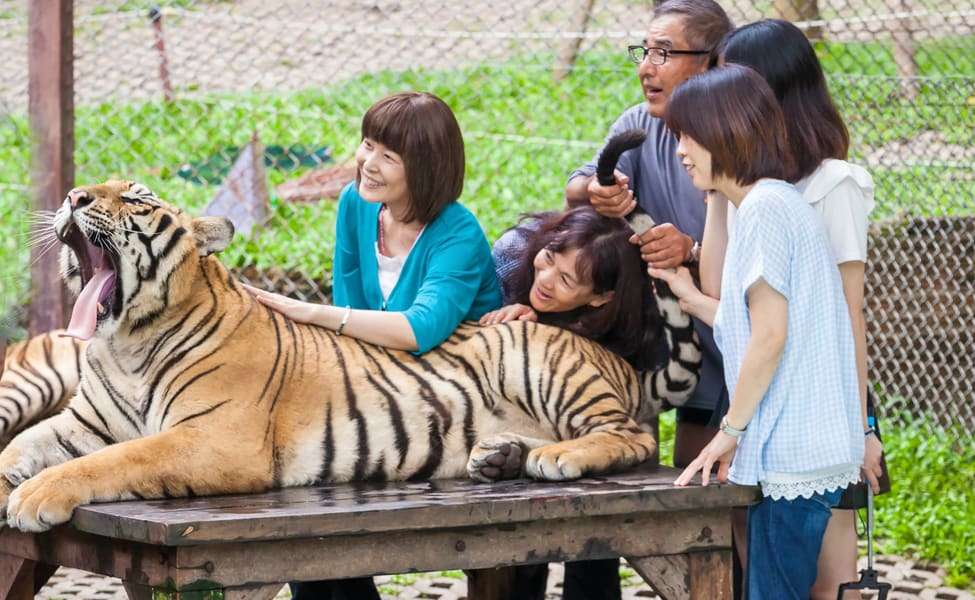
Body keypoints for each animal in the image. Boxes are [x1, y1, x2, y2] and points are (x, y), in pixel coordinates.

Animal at [0, 180, 701, 532]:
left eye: (136, 199)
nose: (73, 197)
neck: (126, 341)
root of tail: (616, 361)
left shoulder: (213, 438)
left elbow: (116, 460)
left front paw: (35, 498)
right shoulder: (81, 423)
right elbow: (22, 446)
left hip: (545, 367)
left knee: (635, 437)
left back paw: (558, 458)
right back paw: (502, 456)